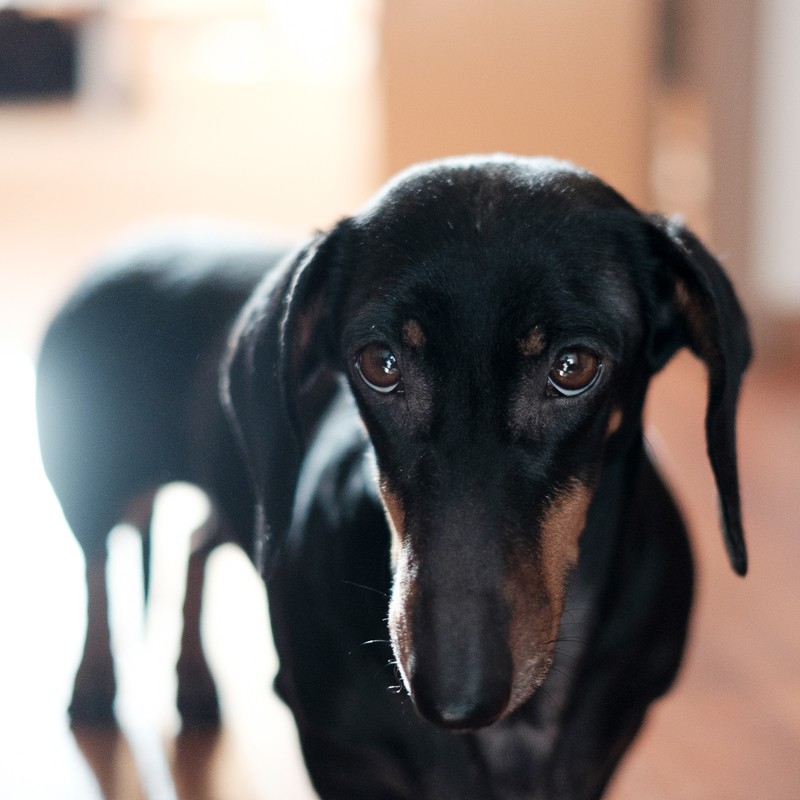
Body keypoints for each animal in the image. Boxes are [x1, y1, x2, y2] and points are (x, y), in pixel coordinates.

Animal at [37, 153, 752, 796]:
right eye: (380, 364)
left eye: (574, 367)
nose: (454, 695)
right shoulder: (338, 756)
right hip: (88, 486)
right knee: (97, 564)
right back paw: (93, 687)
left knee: (190, 546)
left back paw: (194, 685)